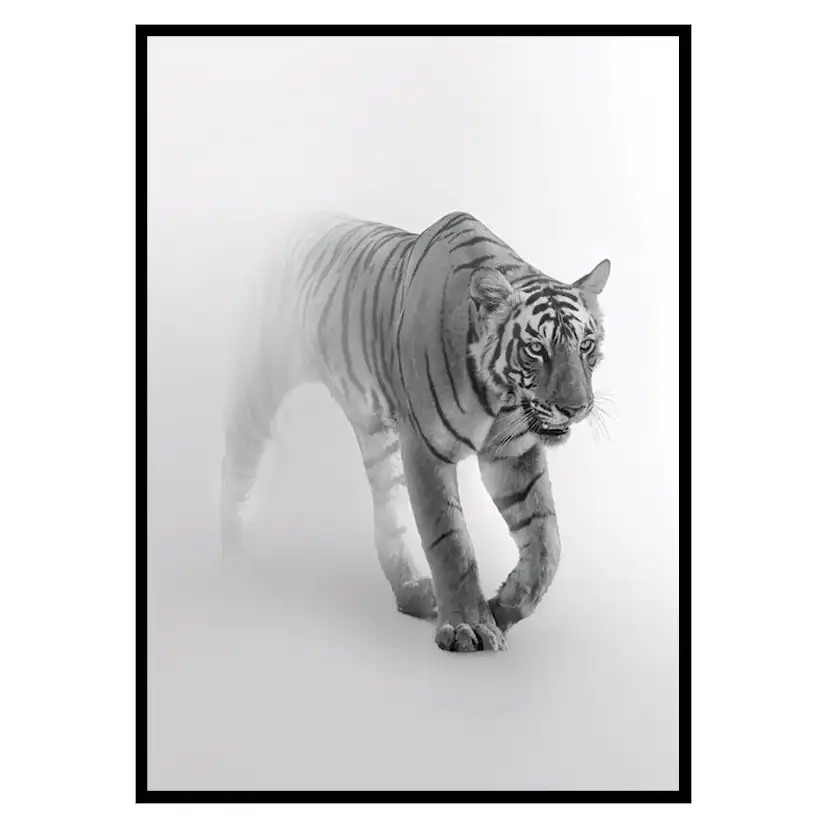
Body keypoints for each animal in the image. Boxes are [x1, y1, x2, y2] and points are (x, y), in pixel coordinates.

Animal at [221, 210, 610, 653]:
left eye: (585, 345)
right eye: (536, 350)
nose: (576, 408)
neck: (500, 400)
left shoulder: (511, 453)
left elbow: (547, 542)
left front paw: (505, 606)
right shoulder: (426, 448)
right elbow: (451, 540)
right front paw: (469, 626)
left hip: (377, 435)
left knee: (389, 514)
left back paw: (411, 592)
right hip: (262, 378)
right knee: (237, 461)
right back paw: (230, 555)